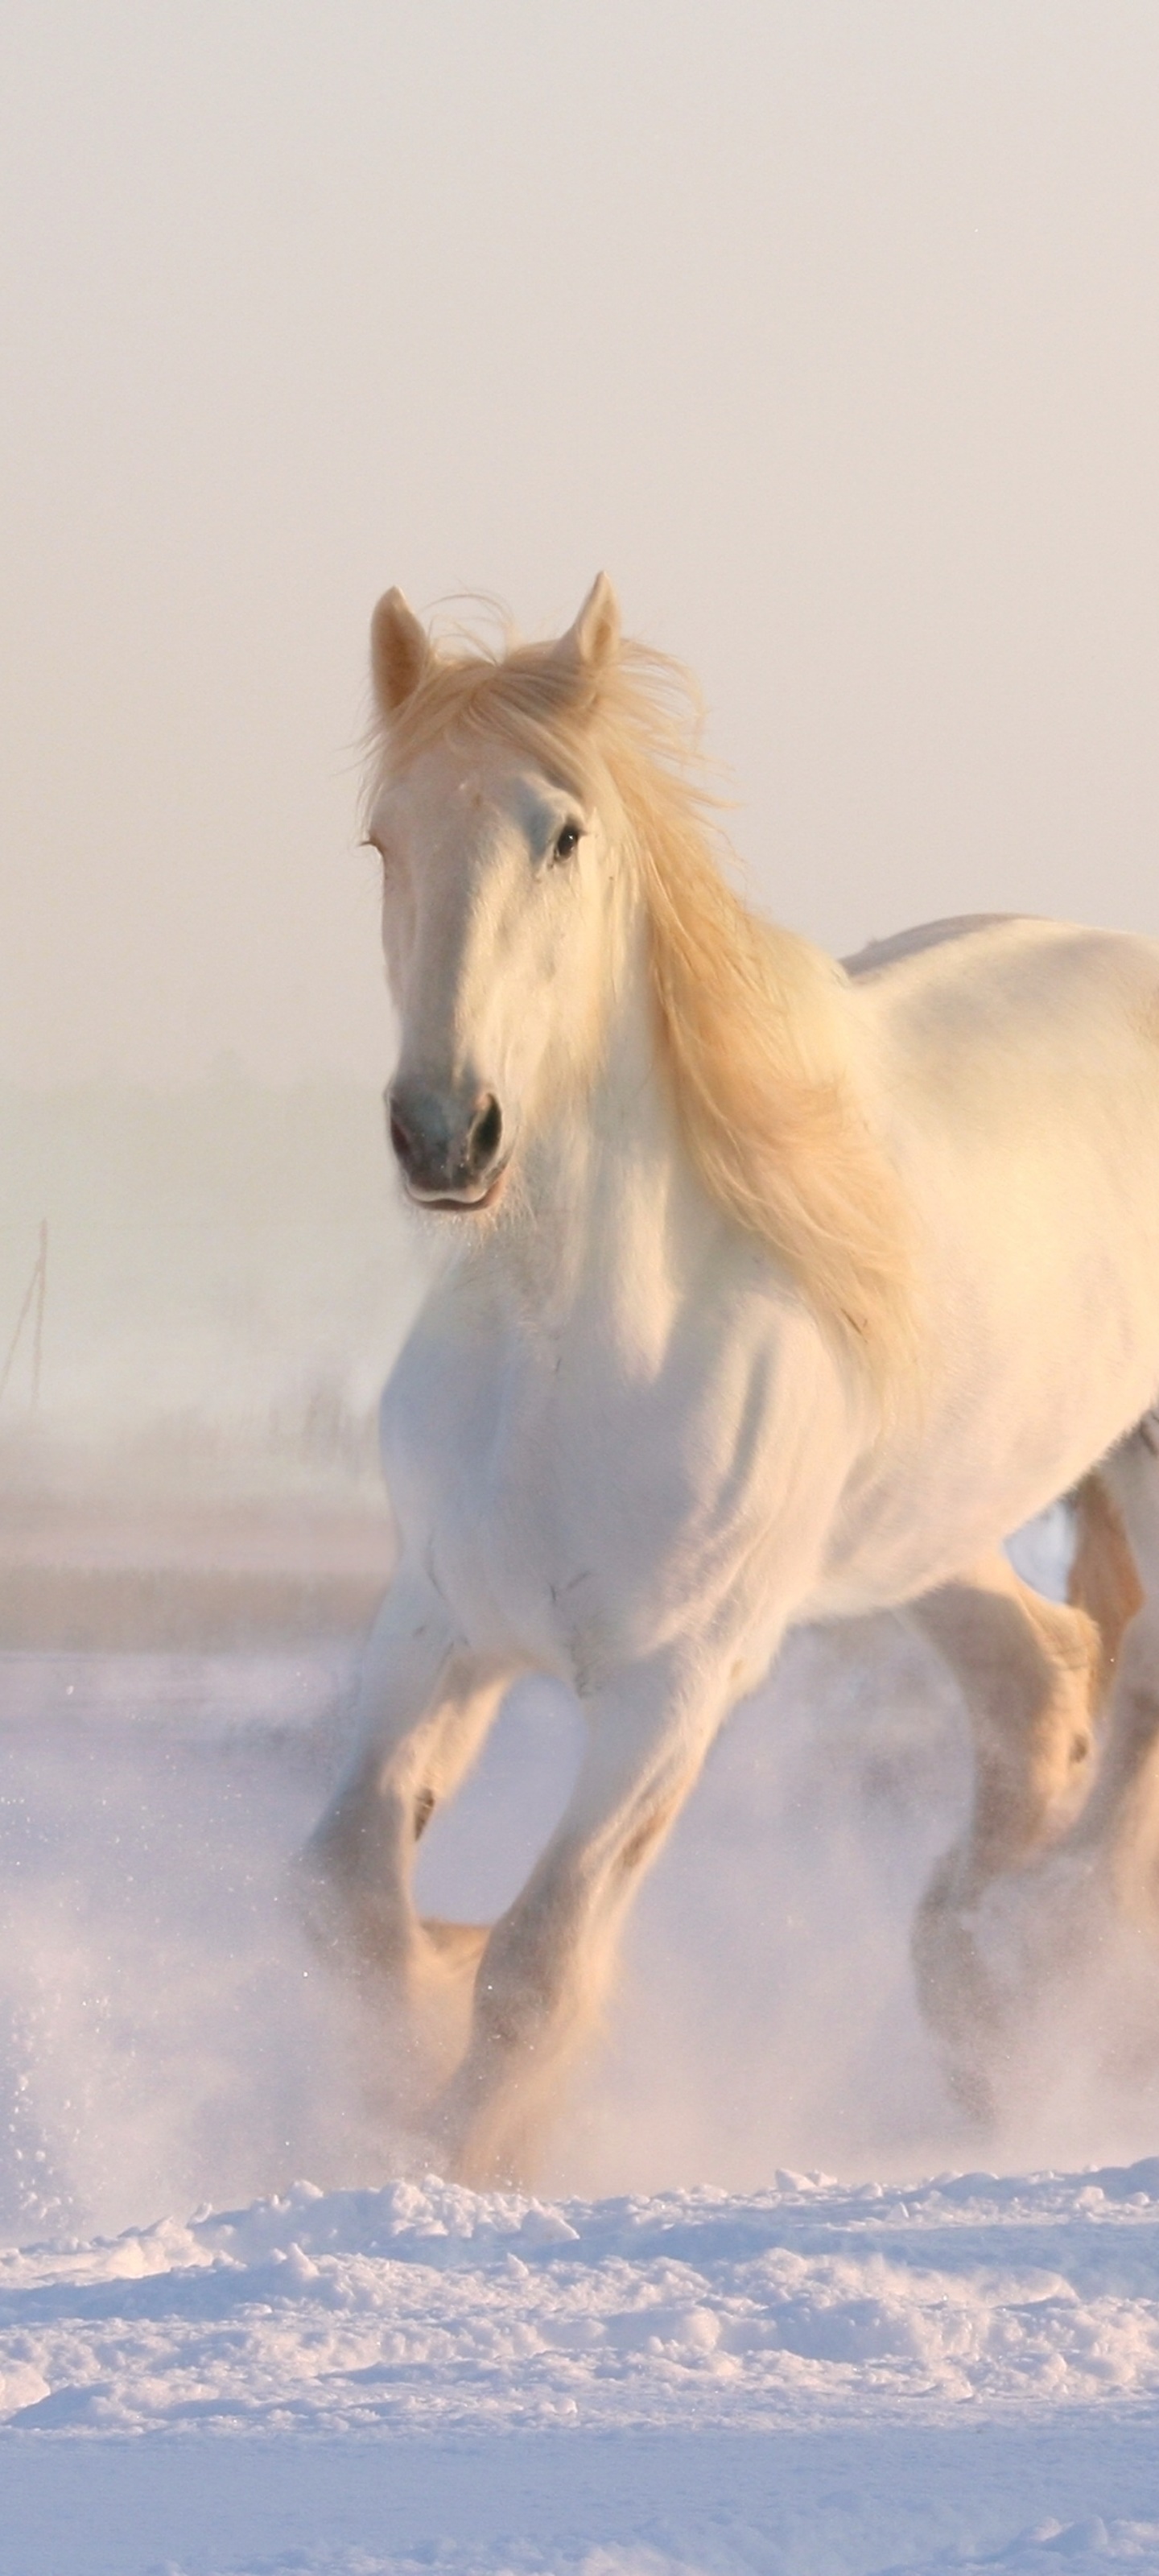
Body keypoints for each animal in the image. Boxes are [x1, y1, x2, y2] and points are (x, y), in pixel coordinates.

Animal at [303, 574, 1159, 2184]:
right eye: (384, 838)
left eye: (563, 833)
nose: (447, 1133)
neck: (571, 1347)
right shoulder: (439, 1624)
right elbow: (346, 1897)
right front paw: (397, 2065)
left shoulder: (673, 1686)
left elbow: (541, 1960)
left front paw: (456, 2161)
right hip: (925, 1522)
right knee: (1042, 1678)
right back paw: (977, 1993)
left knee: (1124, 1692)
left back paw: (1043, 1972)